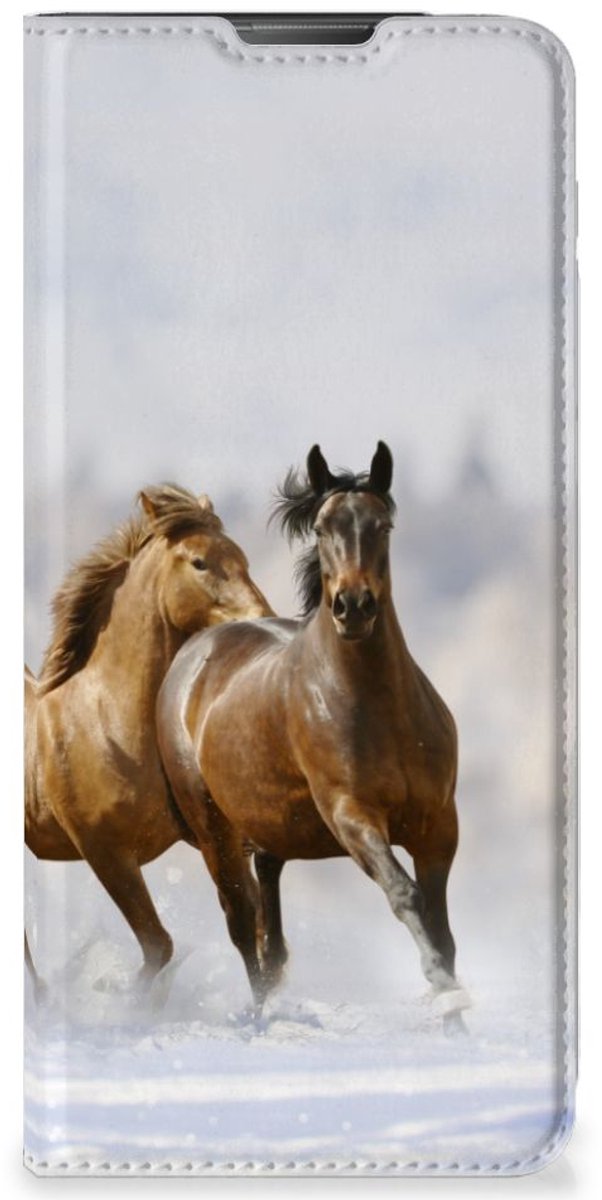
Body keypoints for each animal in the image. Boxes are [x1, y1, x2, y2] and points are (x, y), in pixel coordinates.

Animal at [25, 484, 271, 985]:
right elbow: (159, 946)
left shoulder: (213, 837)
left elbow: (247, 922)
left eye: (242, 557)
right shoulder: (106, 853)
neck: (108, 724)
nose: (262, 617)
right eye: (199, 562)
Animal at [157, 444, 470, 1032]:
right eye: (323, 528)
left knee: (269, 922)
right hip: (214, 832)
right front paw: (446, 995)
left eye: (383, 525)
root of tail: (194, 653)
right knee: (242, 923)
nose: (353, 606)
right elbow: (406, 896)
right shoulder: (352, 816)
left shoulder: (438, 824)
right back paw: (262, 1018)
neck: (379, 709)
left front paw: (457, 1020)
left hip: (270, 829)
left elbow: (441, 925)